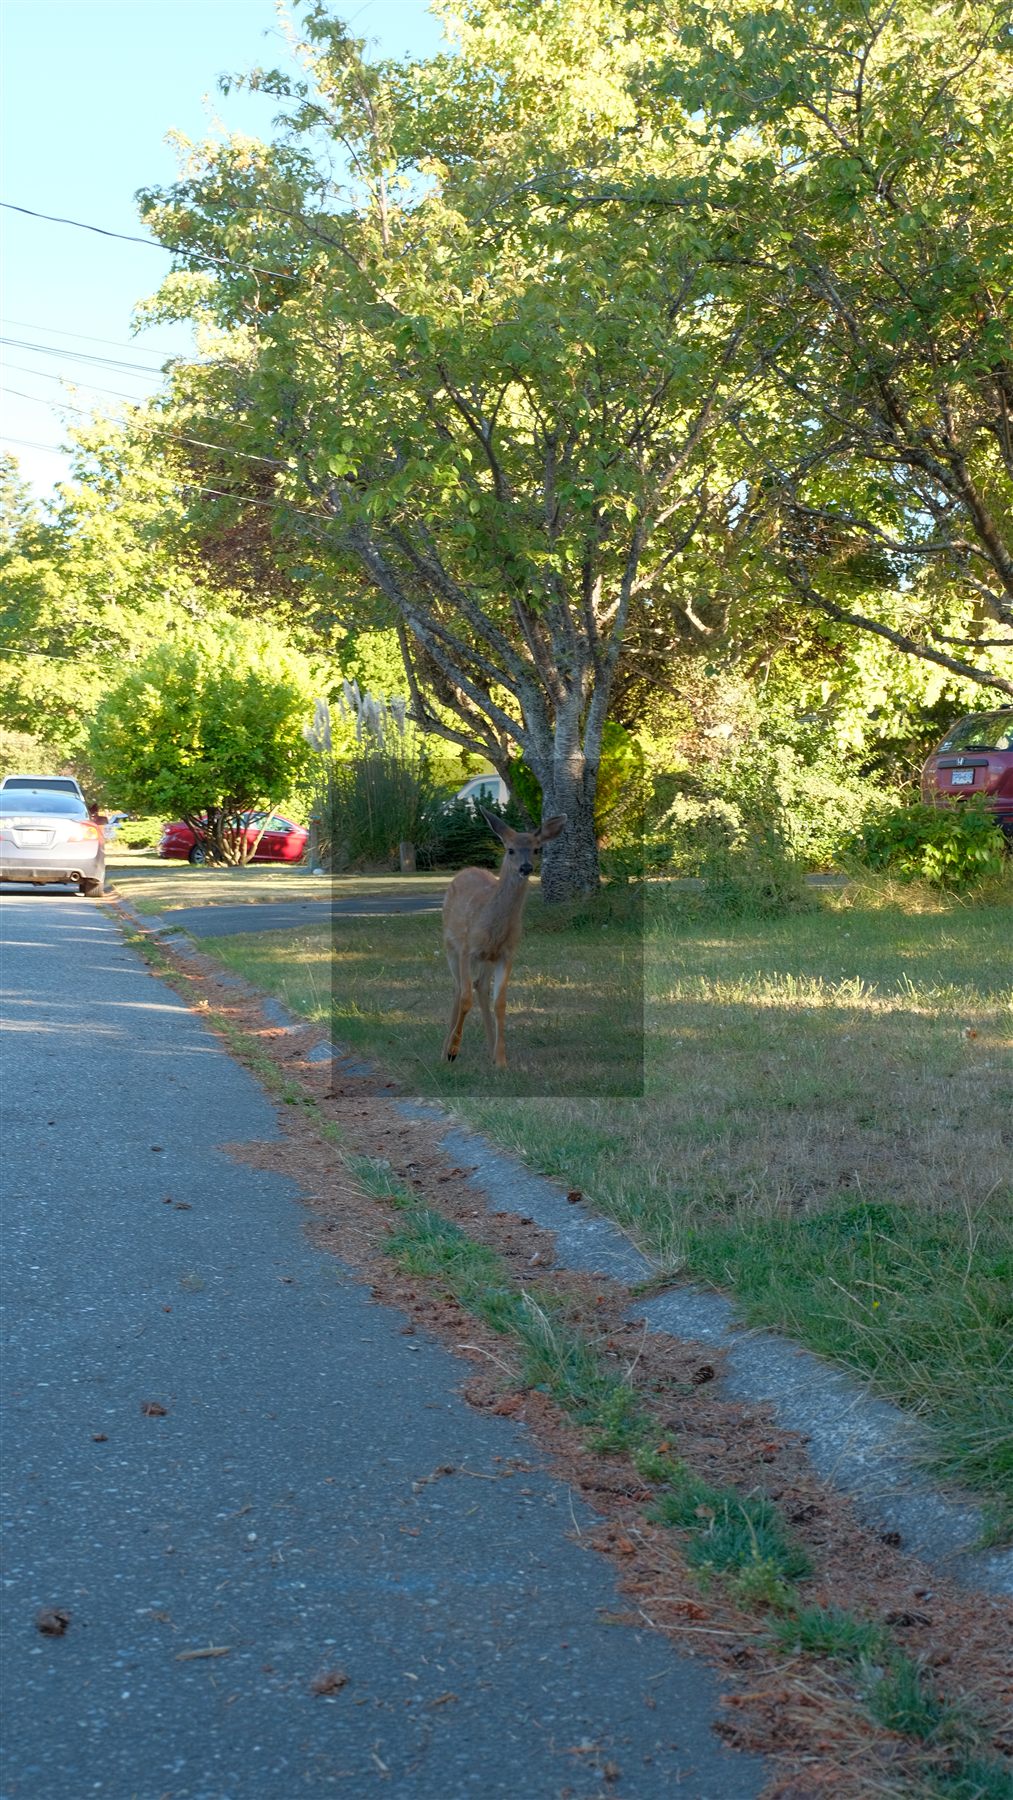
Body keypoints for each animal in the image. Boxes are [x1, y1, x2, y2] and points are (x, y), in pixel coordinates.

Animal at [441, 808, 566, 1069]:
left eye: (537, 849)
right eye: (510, 850)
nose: (526, 867)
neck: (493, 928)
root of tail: (466, 869)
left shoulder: (506, 954)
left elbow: (500, 1003)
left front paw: (501, 1060)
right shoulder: (467, 948)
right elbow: (465, 998)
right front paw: (453, 1051)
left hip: (486, 959)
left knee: (480, 986)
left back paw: (489, 1050)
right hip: (450, 946)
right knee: (459, 988)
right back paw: (444, 1051)